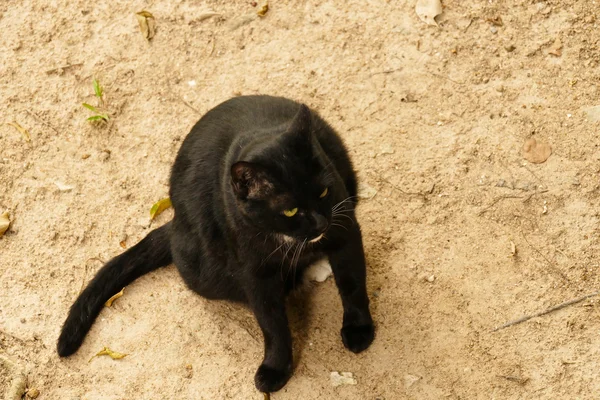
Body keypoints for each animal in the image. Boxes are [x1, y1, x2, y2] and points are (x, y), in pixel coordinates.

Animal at [57, 95, 376, 392]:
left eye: (323, 192)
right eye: (290, 211)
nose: (321, 223)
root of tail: (175, 223)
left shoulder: (345, 231)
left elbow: (352, 285)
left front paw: (359, 330)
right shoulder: (254, 272)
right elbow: (271, 322)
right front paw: (274, 368)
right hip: (203, 272)